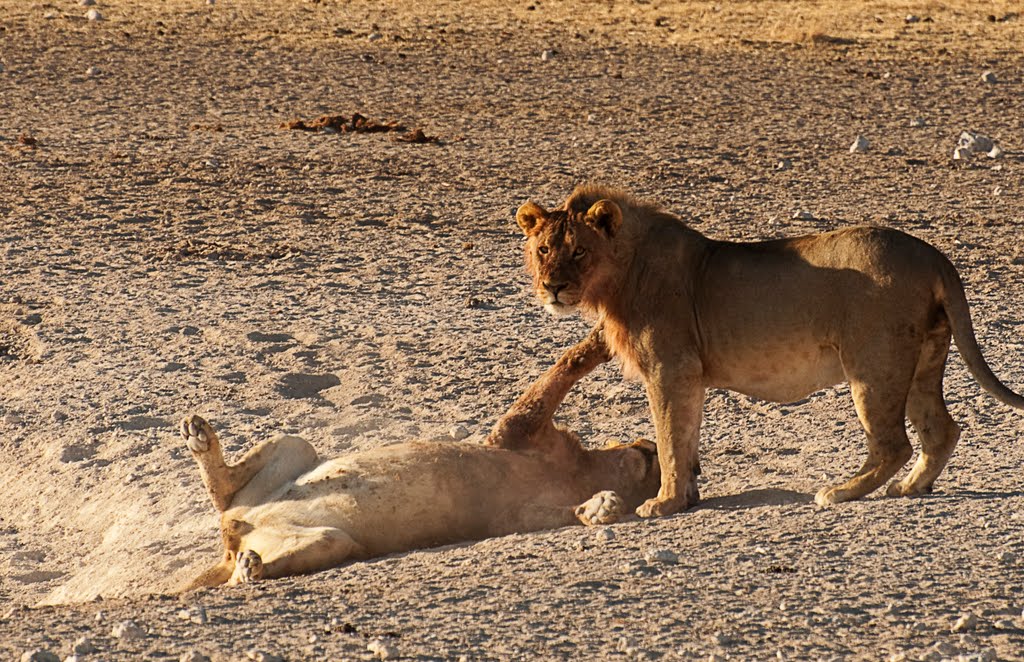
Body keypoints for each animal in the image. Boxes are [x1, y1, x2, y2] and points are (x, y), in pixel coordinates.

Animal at [183, 329, 655, 590]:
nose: (650, 449)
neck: (581, 469)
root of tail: (234, 539)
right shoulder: (516, 431)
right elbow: (564, 370)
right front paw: (602, 337)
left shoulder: (511, 517)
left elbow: (564, 512)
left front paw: (600, 508)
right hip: (298, 446)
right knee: (226, 494)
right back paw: (200, 438)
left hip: (332, 540)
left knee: (240, 547)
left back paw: (252, 568)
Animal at [512, 185, 1024, 518]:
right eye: (543, 250)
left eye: (579, 251)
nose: (552, 287)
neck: (620, 273)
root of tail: (934, 255)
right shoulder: (688, 376)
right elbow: (687, 436)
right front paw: (688, 496)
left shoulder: (669, 368)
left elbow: (669, 438)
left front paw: (664, 502)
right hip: (922, 360)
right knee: (941, 430)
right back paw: (912, 487)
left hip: (873, 365)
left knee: (893, 443)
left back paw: (841, 492)